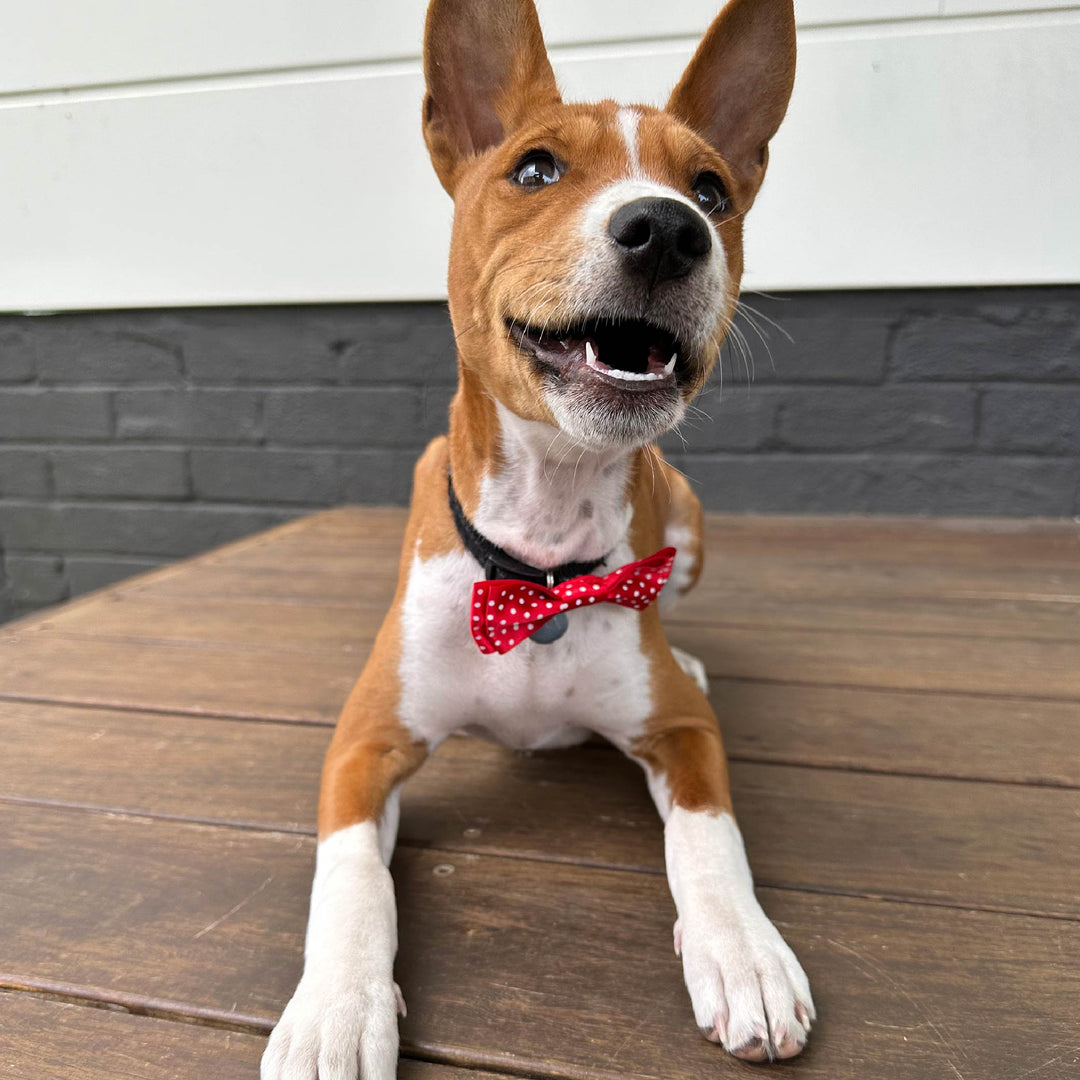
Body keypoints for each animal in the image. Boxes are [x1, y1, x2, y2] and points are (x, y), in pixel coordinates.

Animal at [265, 0, 812, 1075]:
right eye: (535, 169)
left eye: (712, 189)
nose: (668, 230)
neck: (542, 565)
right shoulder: (362, 746)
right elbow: (350, 881)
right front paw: (335, 1009)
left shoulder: (683, 733)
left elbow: (710, 838)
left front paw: (744, 950)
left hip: (690, 522)